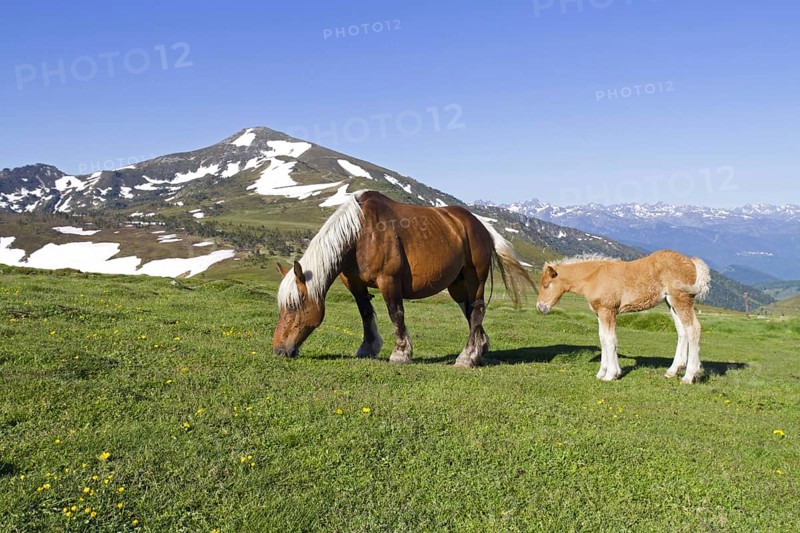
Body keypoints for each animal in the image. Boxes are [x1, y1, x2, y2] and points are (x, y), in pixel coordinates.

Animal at [273, 190, 534, 367]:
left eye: (293, 306)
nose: (279, 350)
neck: (360, 234)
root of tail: (480, 226)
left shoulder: (389, 280)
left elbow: (395, 314)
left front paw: (400, 353)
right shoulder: (354, 283)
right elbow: (365, 313)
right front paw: (367, 348)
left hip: (474, 278)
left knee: (477, 310)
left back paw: (467, 357)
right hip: (457, 285)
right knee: (470, 312)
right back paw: (480, 347)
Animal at [536, 250, 711, 383]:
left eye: (546, 285)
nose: (540, 308)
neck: (595, 277)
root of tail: (691, 261)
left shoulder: (608, 311)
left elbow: (610, 340)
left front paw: (610, 375)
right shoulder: (600, 313)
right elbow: (603, 338)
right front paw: (603, 372)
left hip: (681, 299)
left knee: (693, 329)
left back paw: (689, 376)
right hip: (671, 302)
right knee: (682, 332)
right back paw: (673, 371)